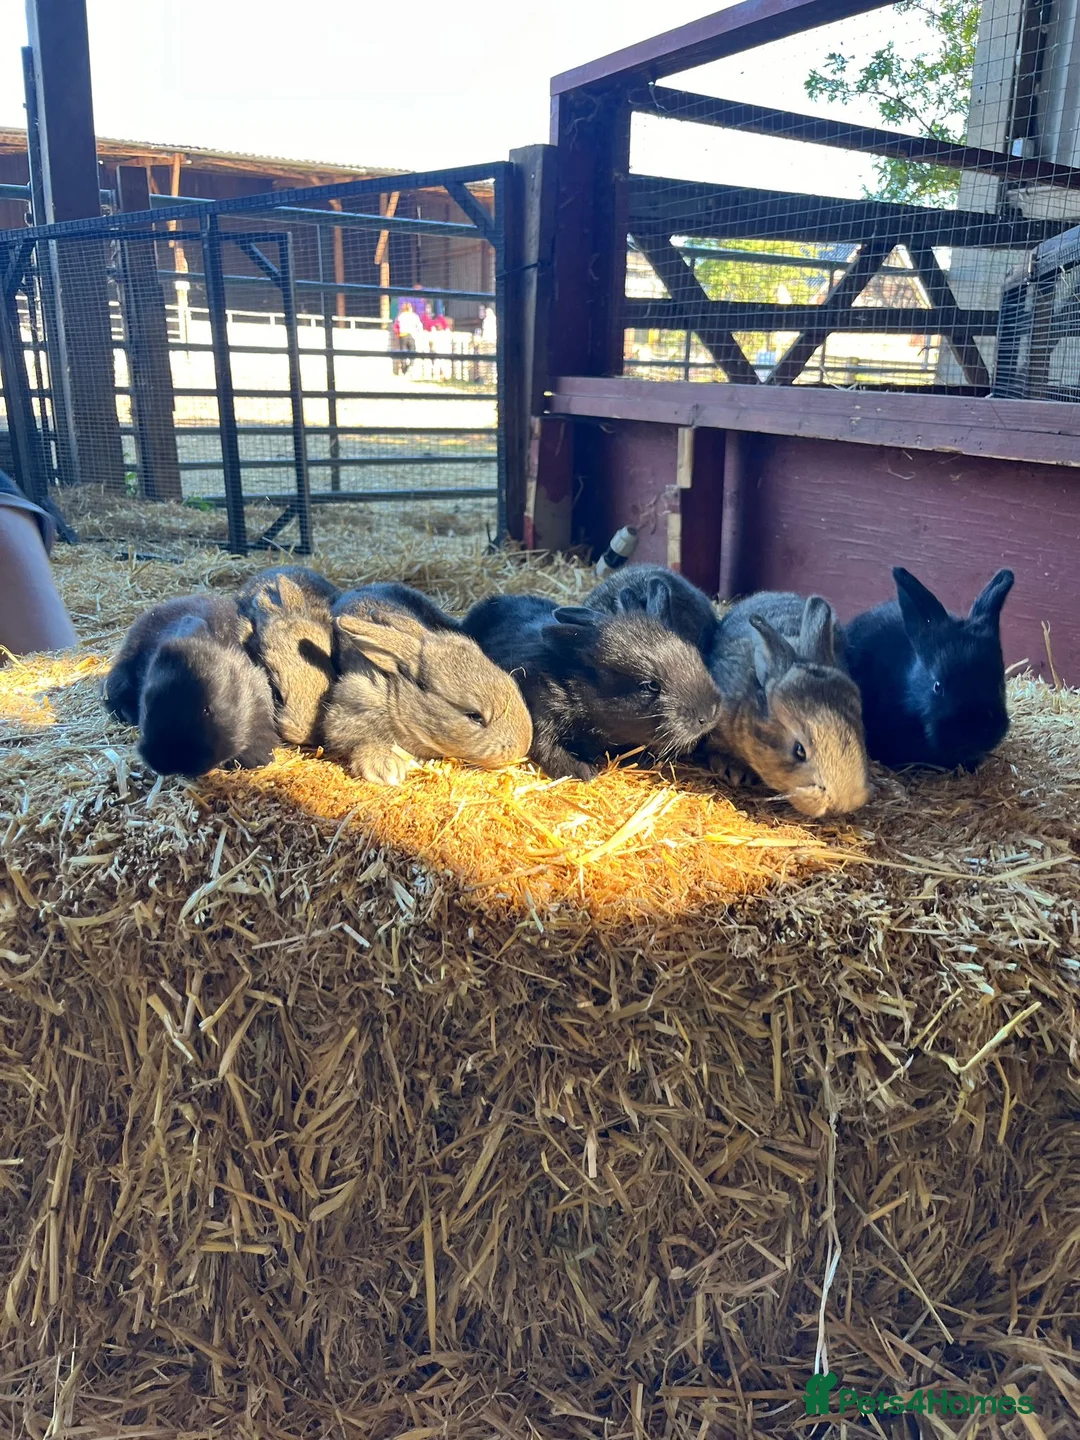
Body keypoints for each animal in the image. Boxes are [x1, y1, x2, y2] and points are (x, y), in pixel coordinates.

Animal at [463, 592, 726, 782]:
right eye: (650, 685)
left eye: (693, 653)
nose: (710, 713)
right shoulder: (540, 714)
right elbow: (546, 748)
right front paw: (583, 772)